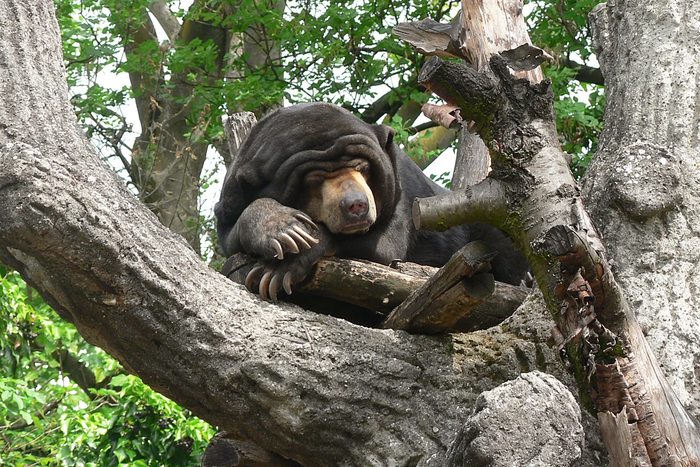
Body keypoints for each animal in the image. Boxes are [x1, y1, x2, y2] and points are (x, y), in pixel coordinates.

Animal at [216, 102, 528, 300]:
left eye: (362, 167)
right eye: (314, 179)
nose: (356, 205)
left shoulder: (402, 191)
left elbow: (384, 246)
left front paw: (279, 270)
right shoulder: (230, 199)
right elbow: (231, 237)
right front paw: (284, 231)